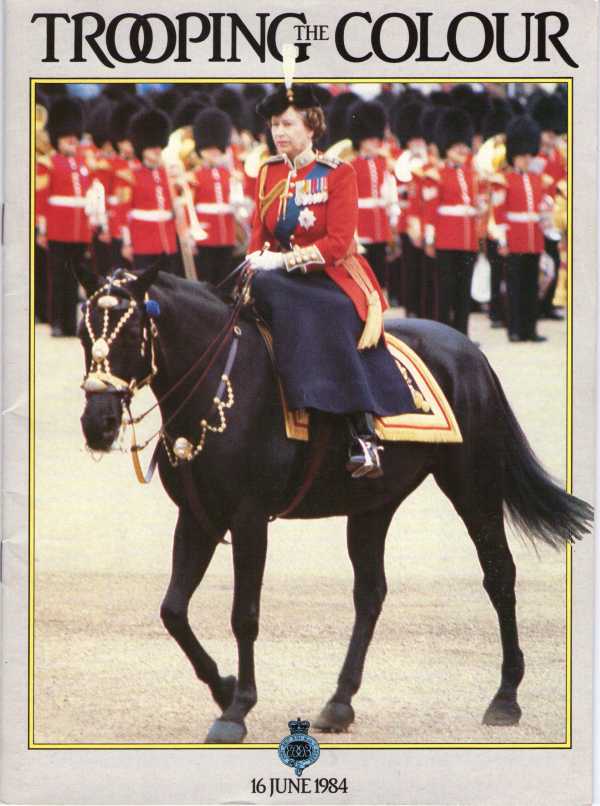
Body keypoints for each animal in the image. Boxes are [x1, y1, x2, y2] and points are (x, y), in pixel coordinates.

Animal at [76, 265, 592, 744]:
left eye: (131, 332)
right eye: (85, 334)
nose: (97, 424)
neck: (217, 385)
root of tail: (471, 352)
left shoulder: (248, 518)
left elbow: (244, 615)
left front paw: (237, 708)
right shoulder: (198, 517)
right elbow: (173, 611)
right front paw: (223, 687)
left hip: (473, 487)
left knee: (499, 576)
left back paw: (506, 697)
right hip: (372, 506)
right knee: (370, 593)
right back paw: (340, 702)